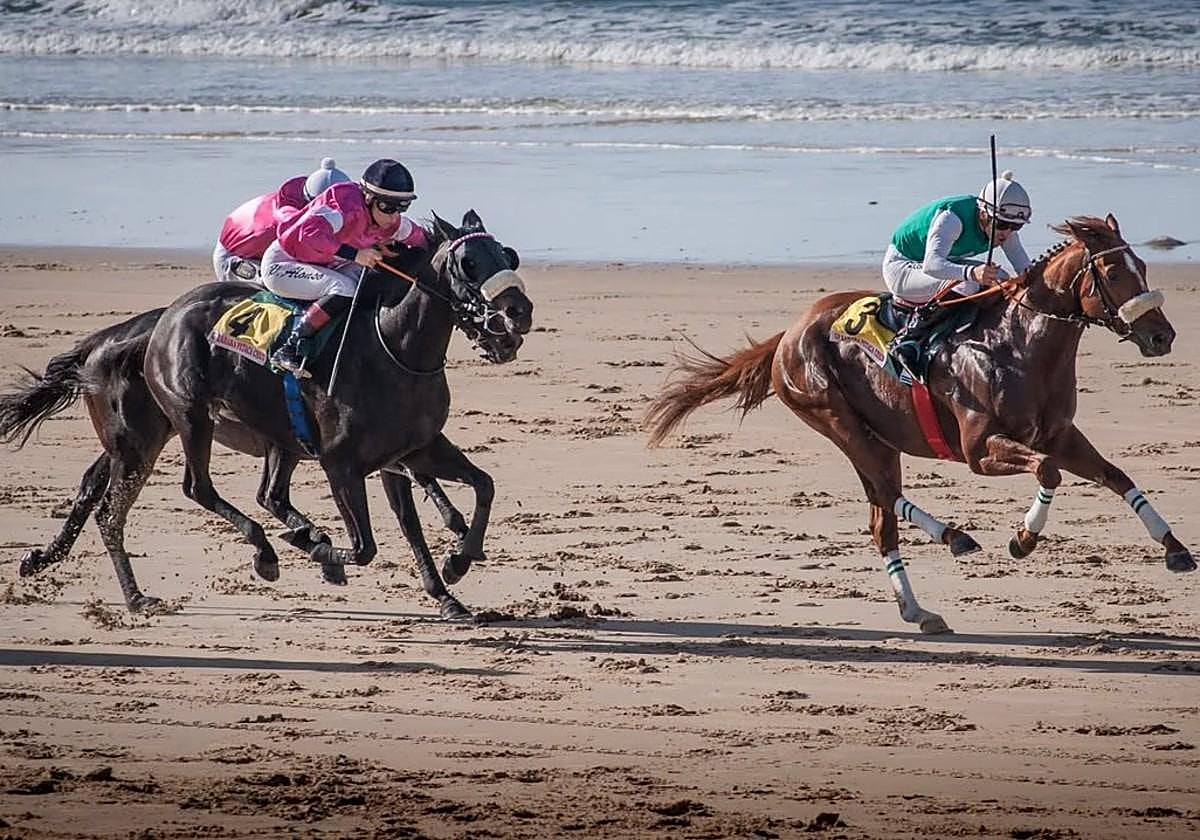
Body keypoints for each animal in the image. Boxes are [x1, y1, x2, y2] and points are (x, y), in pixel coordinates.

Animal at [1, 210, 532, 619]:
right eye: (467, 263)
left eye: (508, 255)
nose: (519, 313)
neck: (394, 347)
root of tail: (158, 322)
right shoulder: (342, 464)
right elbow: (365, 546)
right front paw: (321, 549)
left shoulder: (410, 450)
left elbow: (474, 491)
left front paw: (454, 576)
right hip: (186, 420)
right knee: (182, 492)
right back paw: (187, 580)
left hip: (149, 437)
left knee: (107, 491)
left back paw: (45, 561)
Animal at [646, 214, 1193, 634]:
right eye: (1114, 273)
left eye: (1143, 266)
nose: (1161, 336)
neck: (1017, 345)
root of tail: (788, 333)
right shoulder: (980, 449)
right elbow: (1047, 471)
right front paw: (1022, 539)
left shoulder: (1059, 435)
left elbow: (1118, 477)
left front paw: (1176, 550)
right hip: (837, 420)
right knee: (888, 498)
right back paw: (955, 537)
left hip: (879, 439)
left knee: (881, 517)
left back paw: (918, 609)